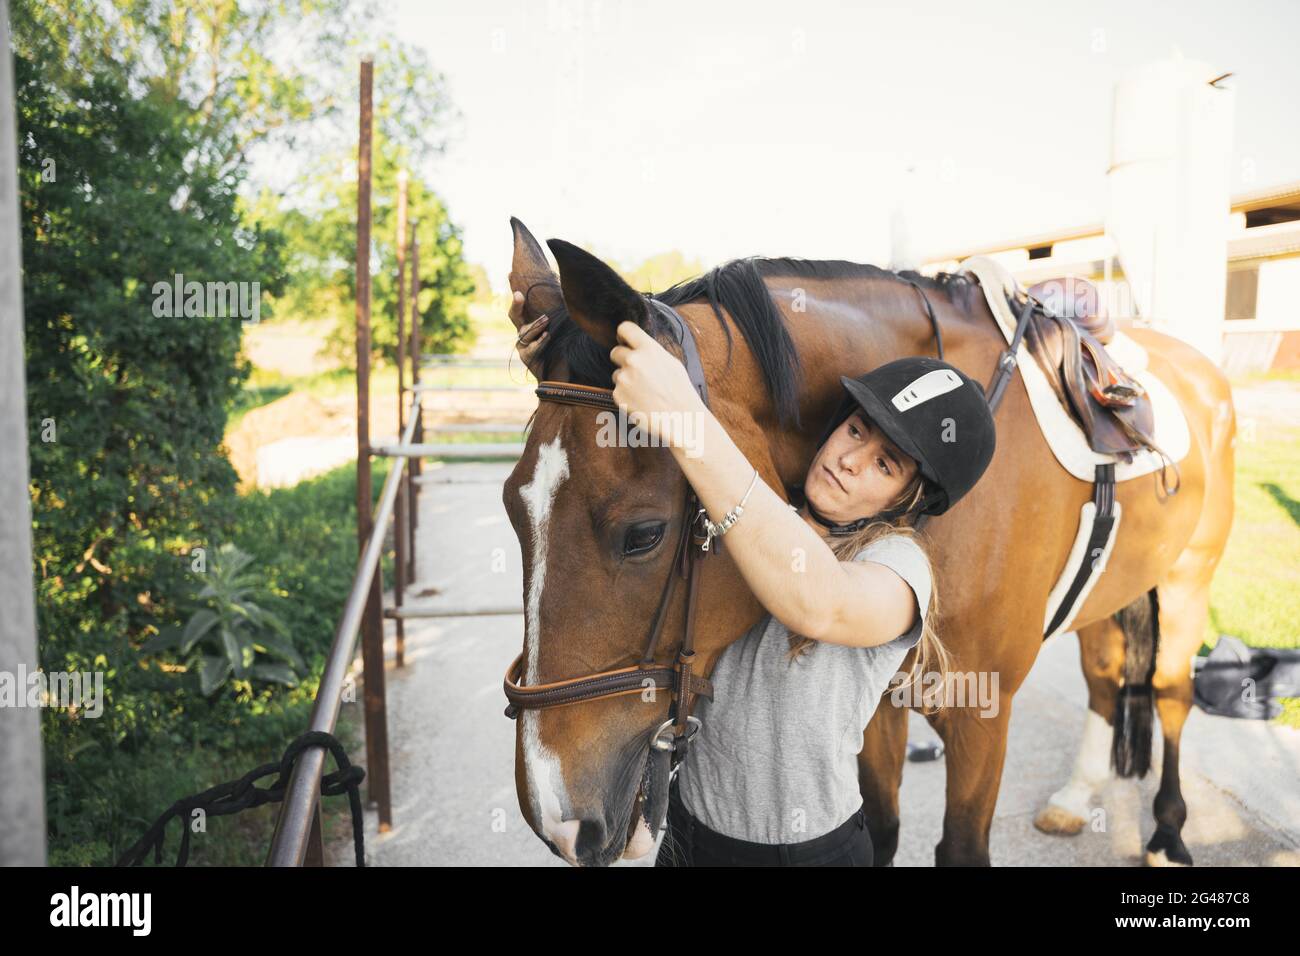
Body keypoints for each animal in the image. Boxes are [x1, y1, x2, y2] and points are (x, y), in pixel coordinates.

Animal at [501, 217, 1235, 867]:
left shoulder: (983, 715)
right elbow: (880, 828)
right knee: (1106, 676)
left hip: (1189, 581)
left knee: (1169, 693)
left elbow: (960, 847)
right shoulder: (878, 706)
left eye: (644, 534)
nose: (560, 821)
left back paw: (1168, 833)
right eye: (512, 508)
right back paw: (1076, 798)